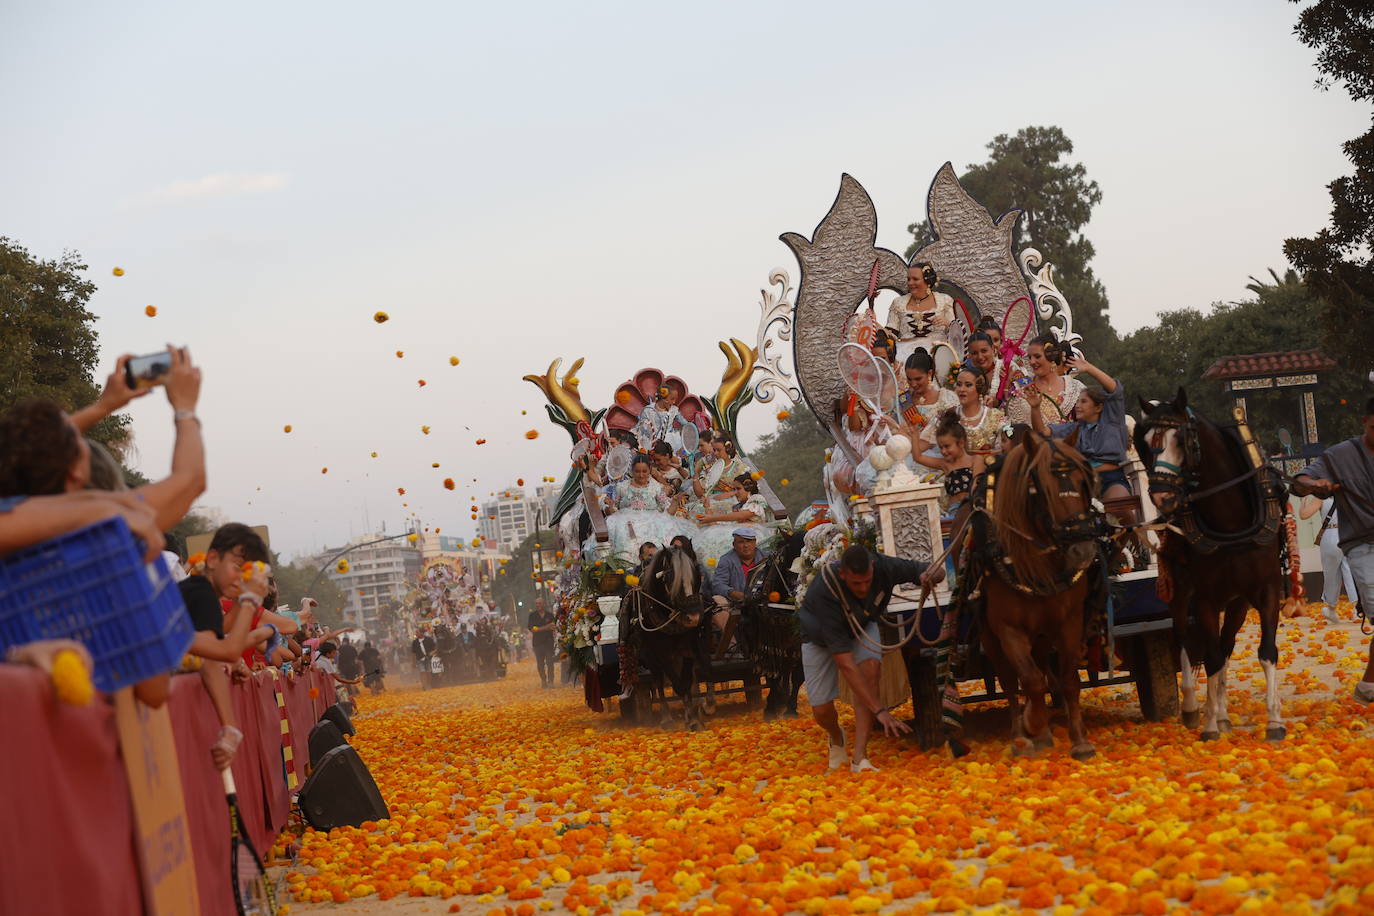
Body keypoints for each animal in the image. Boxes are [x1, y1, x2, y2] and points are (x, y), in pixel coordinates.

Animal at [621, 543, 714, 730]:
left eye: (696, 573)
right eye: (671, 576)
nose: (693, 617)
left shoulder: (688, 649)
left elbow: (687, 682)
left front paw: (693, 717)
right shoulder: (661, 654)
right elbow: (677, 685)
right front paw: (691, 718)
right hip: (650, 657)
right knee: (658, 682)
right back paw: (666, 718)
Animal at [978, 431, 1104, 758]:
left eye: (1083, 481)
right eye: (1043, 491)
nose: (1083, 550)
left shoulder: (1070, 621)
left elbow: (1068, 679)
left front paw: (1080, 740)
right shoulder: (1007, 629)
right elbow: (1030, 681)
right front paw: (1031, 725)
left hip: (1042, 634)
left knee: (1043, 666)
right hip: (989, 636)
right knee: (1010, 680)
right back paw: (1019, 732)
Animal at [1126, 390, 1286, 741]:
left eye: (1181, 439)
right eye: (1144, 443)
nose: (1161, 497)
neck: (1232, 524)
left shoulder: (1266, 589)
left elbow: (1265, 651)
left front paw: (1274, 721)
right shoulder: (1206, 598)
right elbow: (1208, 656)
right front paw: (1210, 724)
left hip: (1237, 601)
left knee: (1225, 645)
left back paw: (1223, 712)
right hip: (1179, 591)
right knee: (1185, 640)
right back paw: (1192, 707)